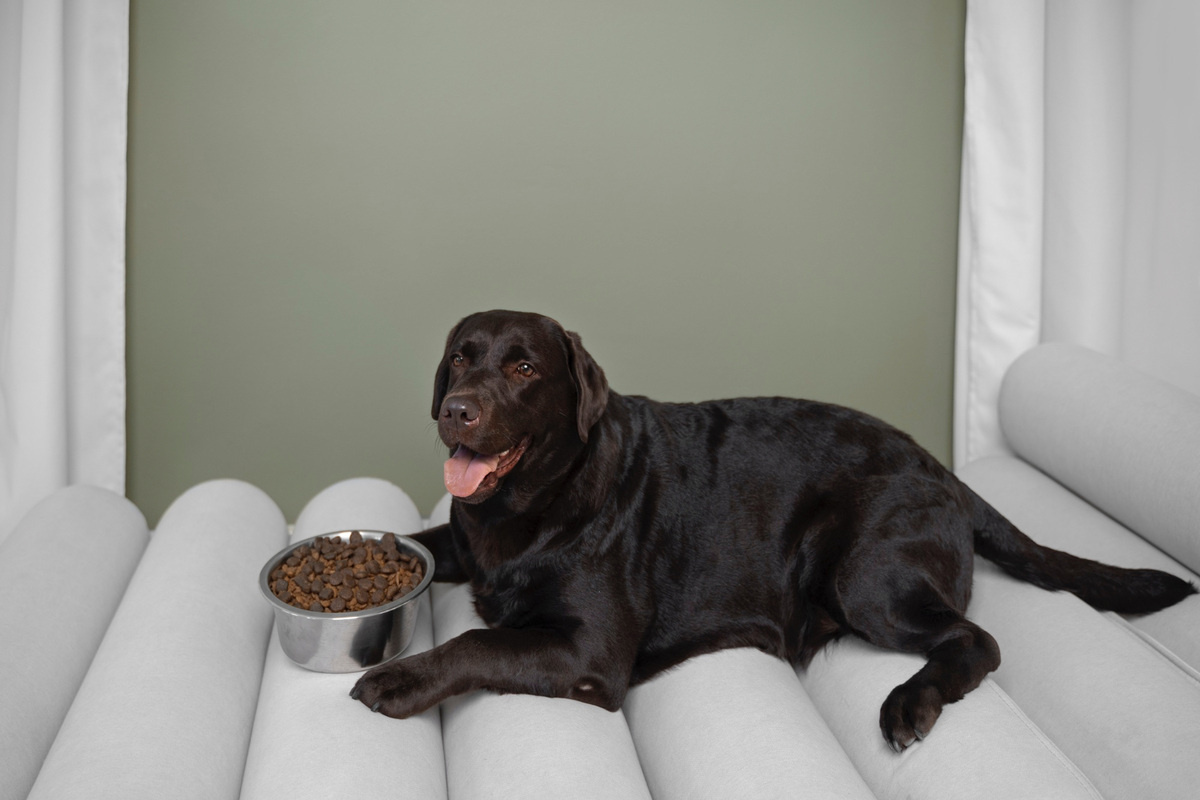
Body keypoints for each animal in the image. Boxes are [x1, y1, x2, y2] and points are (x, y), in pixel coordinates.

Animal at [350, 309, 1195, 753]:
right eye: (460, 357)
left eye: (524, 368)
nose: (456, 408)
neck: (531, 507)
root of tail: (947, 472)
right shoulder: (465, 542)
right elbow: (421, 540)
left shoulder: (587, 651)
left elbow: (478, 641)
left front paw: (401, 678)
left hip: (863, 575)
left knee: (977, 640)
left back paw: (910, 703)